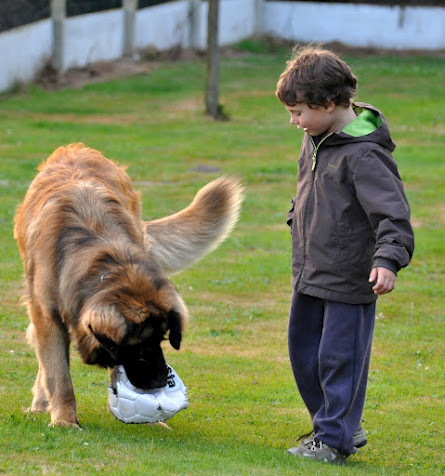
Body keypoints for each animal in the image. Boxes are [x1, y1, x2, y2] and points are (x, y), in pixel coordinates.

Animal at [13, 144, 243, 428]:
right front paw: (65, 420)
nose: (161, 382)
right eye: (139, 348)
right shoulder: (47, 315)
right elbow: (58, 374)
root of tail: (77, 148)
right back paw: (41, 403)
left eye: (163, 338)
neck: (104, 257)